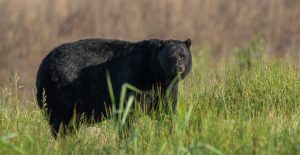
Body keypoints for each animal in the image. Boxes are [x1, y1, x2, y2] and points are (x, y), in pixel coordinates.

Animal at [36, 38, 192, 137]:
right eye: (170, 57)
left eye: (183, 56)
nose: (179, 68)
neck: (154, 75)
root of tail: (44, 62)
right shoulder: (131, 77)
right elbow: (126, 109)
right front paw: (127, 134)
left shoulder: (166, 90)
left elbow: (166, 109)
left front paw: (170, 130)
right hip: (63, 87)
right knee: (62, 119)